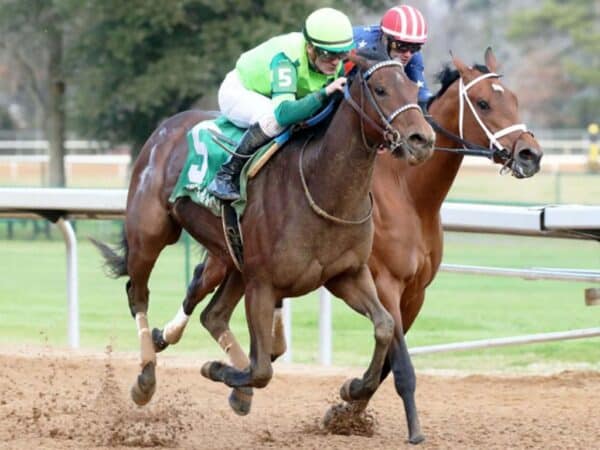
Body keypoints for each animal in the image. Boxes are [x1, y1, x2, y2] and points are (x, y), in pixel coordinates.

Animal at [95, 56, 436, 418]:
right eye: (381, 89)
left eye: (413, 86)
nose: (422, 139)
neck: (321, 185)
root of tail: (164, 129)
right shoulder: (263, 284)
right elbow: (261, 370)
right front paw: (216, 369)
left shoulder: (348, 275)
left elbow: (384, 326)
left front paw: (354, 386)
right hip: (150, 235)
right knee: (138, 295)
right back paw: (146, 377)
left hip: (232, 256)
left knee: (212, 314)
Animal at [151, 48, 544, 442]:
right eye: (483, 103)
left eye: (513, 99)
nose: (530, 154)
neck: (408, 193)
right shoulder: (384, 282)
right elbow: (400, 362)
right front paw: (396, 422)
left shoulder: (414, 293)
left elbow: (387, 356)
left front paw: (347, 406)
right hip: (229, 255)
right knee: (197, 290)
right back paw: (160, 342)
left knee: (218, 314)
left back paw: (240, 382)